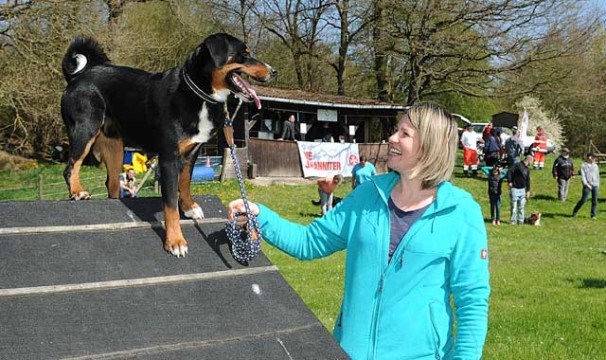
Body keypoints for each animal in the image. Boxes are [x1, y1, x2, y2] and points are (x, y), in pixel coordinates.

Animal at [60, 33, 276, 256]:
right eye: (244, 54)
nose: (273, 71)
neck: (197, 95)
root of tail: (78, 77)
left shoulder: (191, 154)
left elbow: (186, 183)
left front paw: (189, 207)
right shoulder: (168, 159)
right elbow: (171, 204)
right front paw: (175, 241)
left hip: (115, 148)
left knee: (110, 183)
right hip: (85, 130)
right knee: (71, 167)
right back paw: (77, 191)